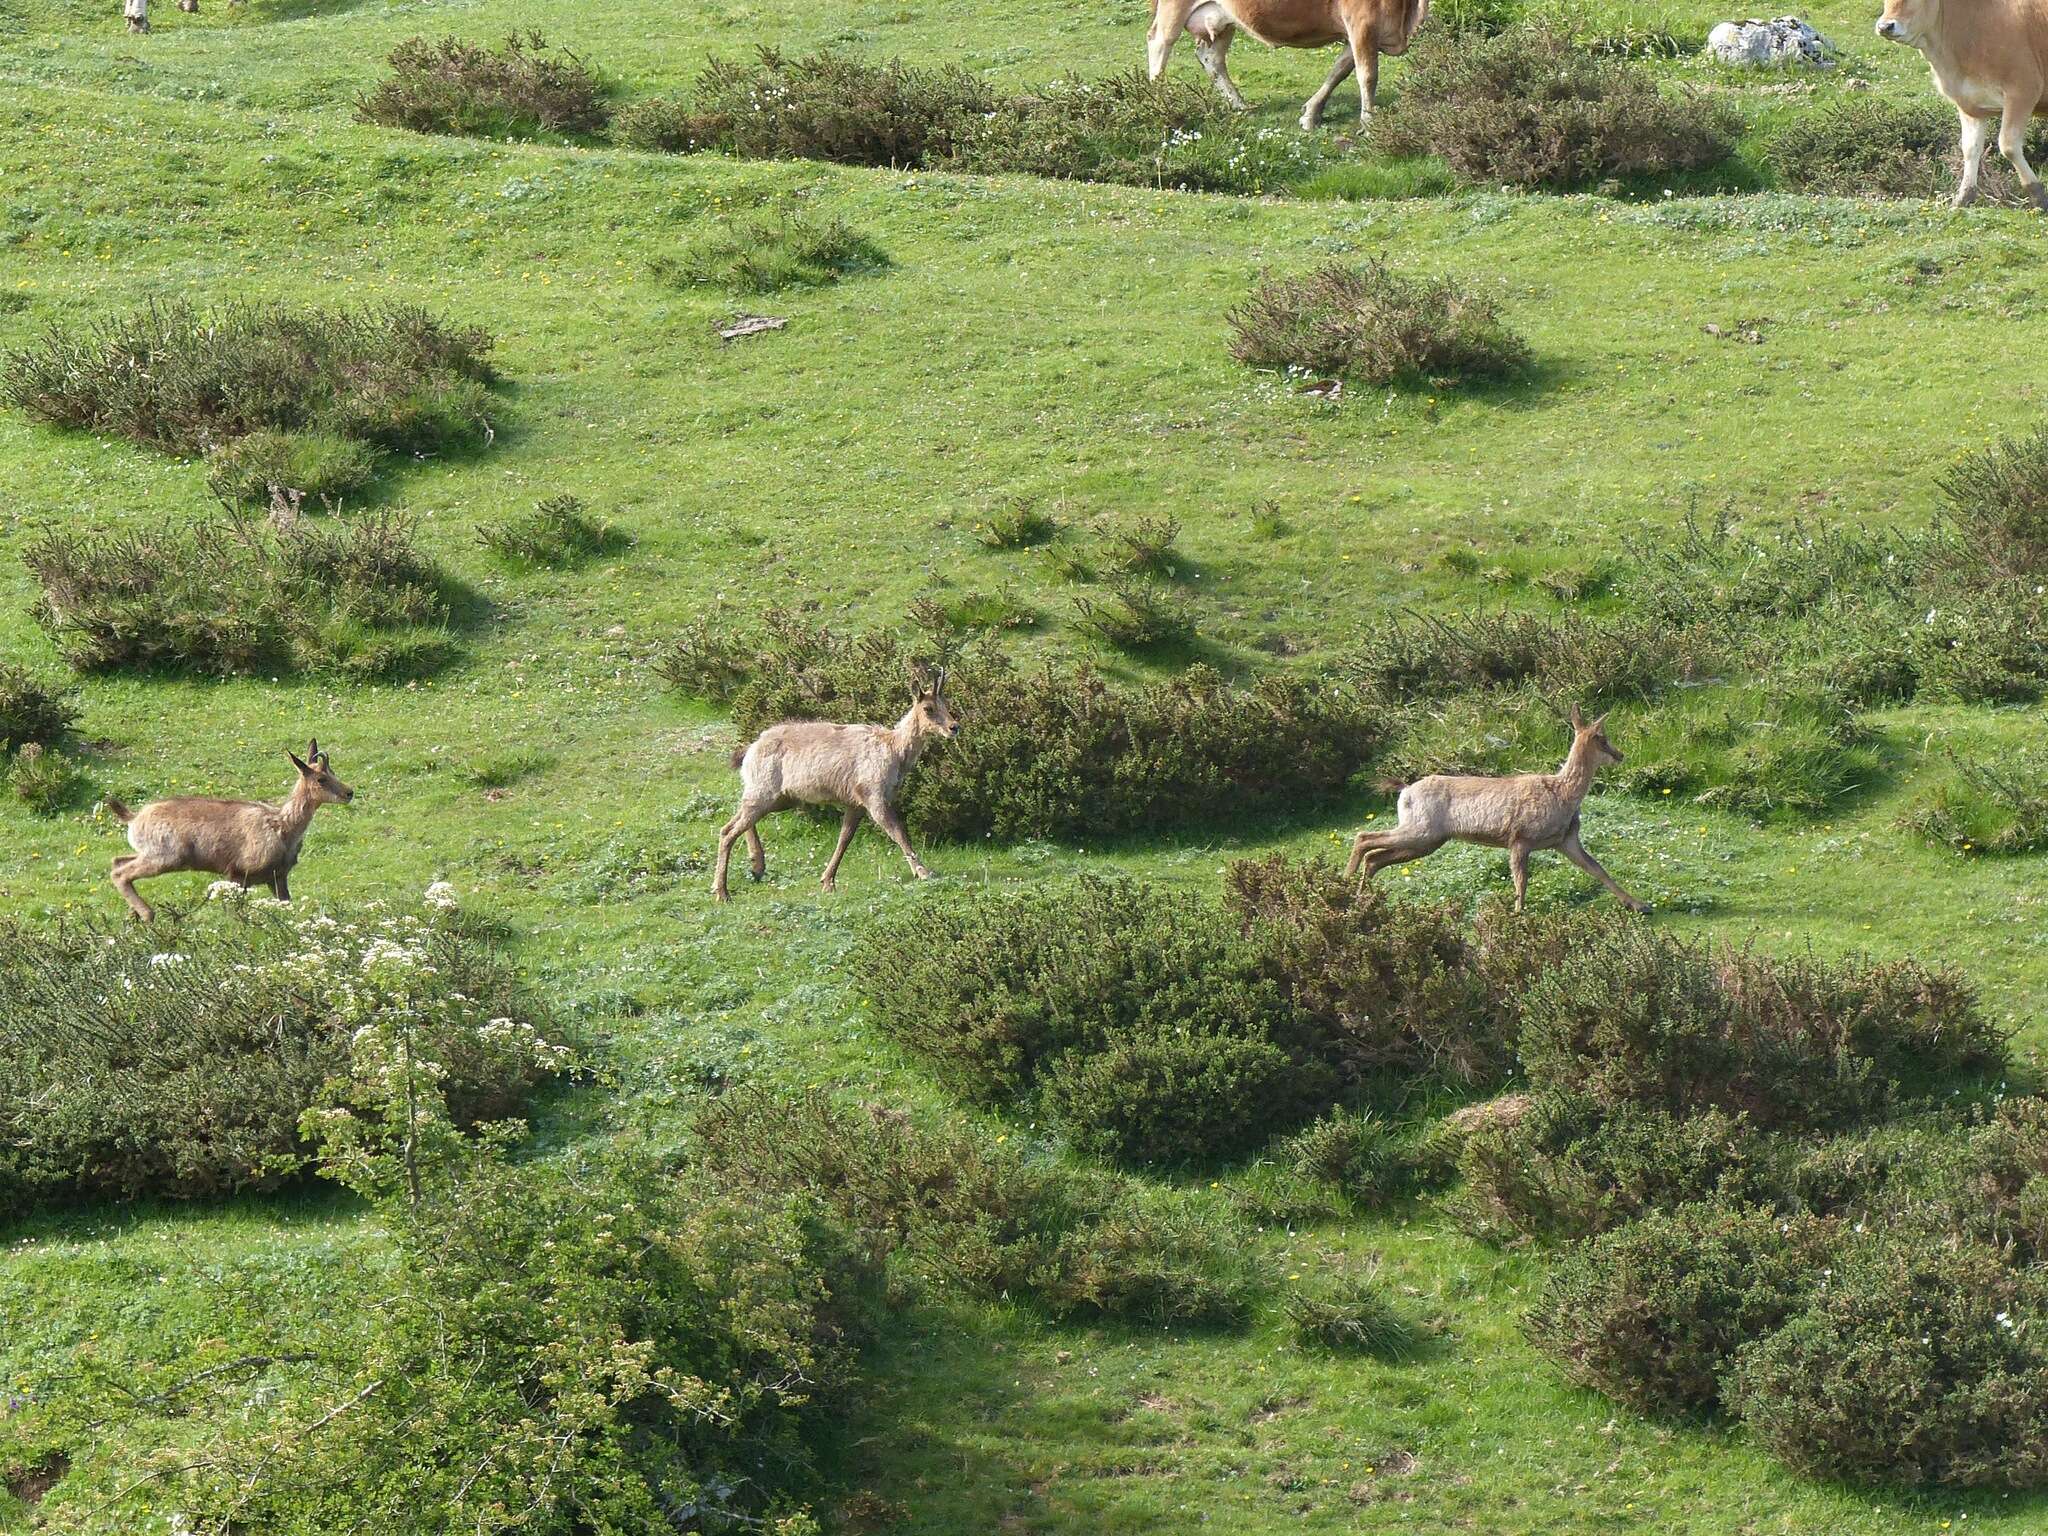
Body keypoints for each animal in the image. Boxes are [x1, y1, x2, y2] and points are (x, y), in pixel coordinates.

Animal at [1146, 0, 1433, 131]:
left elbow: (1339, 70)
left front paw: (1311, 114)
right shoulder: (1362, 22)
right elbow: (1368, 75)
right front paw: (1369, 124)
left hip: (1224, 19)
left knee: (1212, 58)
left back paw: (1240, 106)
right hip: (1174, 7)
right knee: (1160, 42)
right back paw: (1156, 102)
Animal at [1875, 0, 2048, 207]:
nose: (1885, 26)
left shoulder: (2022, 91)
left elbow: (2008, 145)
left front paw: (2038, 195)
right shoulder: (1970, 105)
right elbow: (1970, 148)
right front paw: (1963, 197)